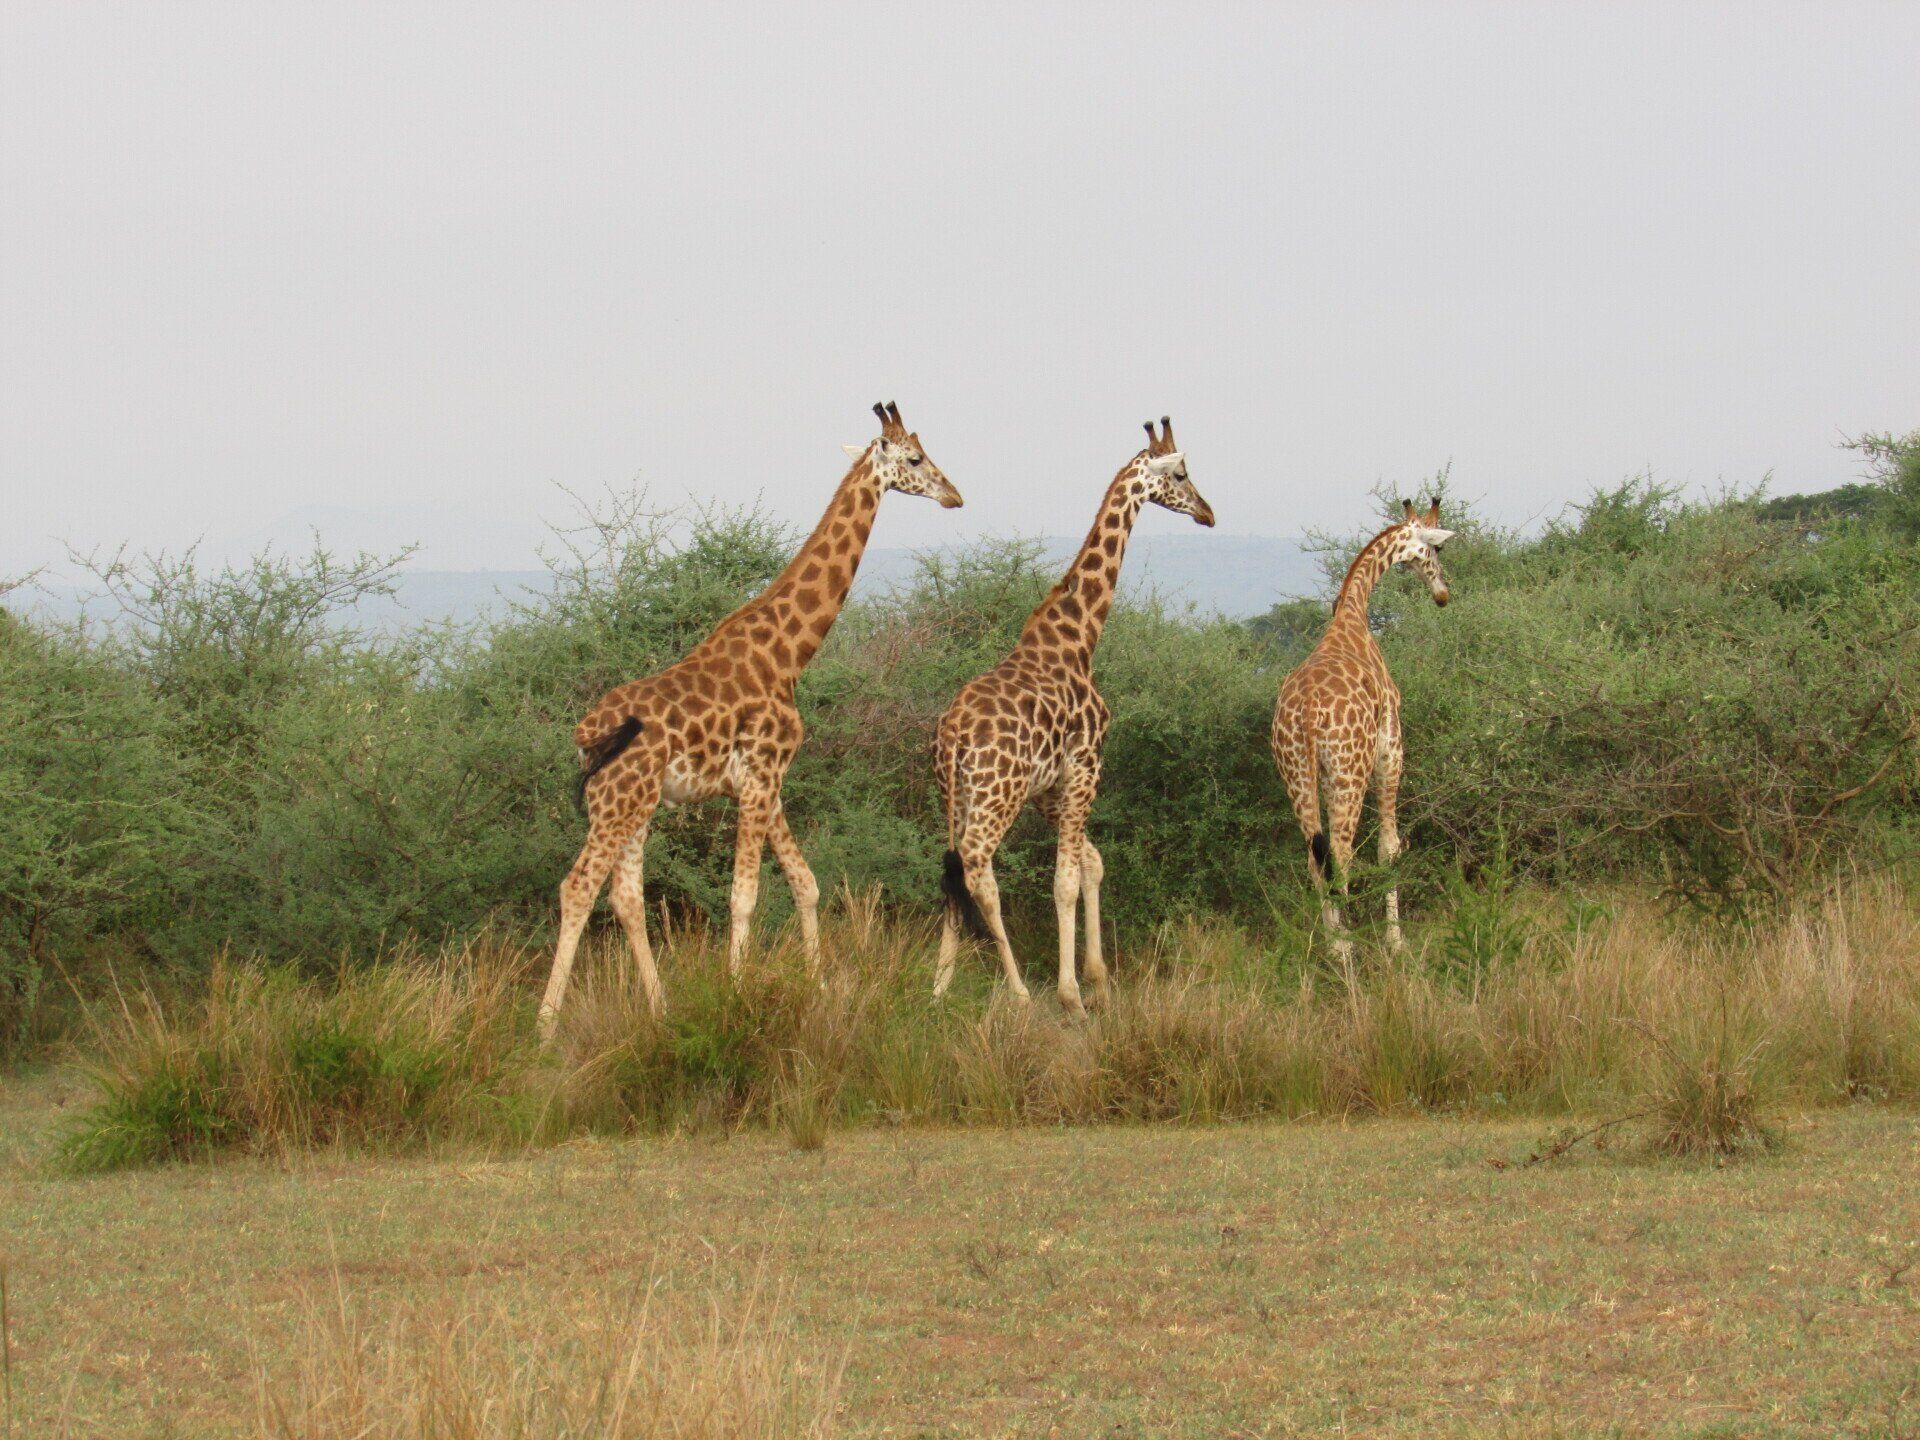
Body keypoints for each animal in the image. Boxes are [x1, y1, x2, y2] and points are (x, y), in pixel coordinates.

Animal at [537, 402, 963, 1041]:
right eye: (914, 458)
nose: (955, 495)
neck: (786, 654)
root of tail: (586, 736)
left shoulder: (767, 782)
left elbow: (806, 883)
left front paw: (817, 987)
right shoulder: (761, 776)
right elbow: (745, 895)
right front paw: (736, 997)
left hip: (633, 804)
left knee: (626, 897)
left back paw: (660, 1009)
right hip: (617, 802)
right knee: (578, 887)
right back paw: (544, 1027)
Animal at [932, 417, 1214, 1016]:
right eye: (1181, 473)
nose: (1207, 512)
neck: (1080, 638)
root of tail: (954, 735)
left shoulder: (1049, 784)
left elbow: (1091, 860)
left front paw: (1099, 980)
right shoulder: (1086, 764)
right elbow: (1064, 879)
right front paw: (1072, 995)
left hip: (957, 794)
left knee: (954, 870)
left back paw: (939, 987)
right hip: (998, 793)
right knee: (978, 868)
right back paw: (1018, 991)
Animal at [1271, 498, 1454, 958]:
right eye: (1438, 549)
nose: (1443, 594)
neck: (1353, 613)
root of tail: (1307, 714)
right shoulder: (1391, 749)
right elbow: (1389, 847)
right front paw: (1396, 940)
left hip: (1297, 774)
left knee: (1316, 859)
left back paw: (1332, 947)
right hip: (1348, 773)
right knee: (1342, 855)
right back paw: (1346, 951)